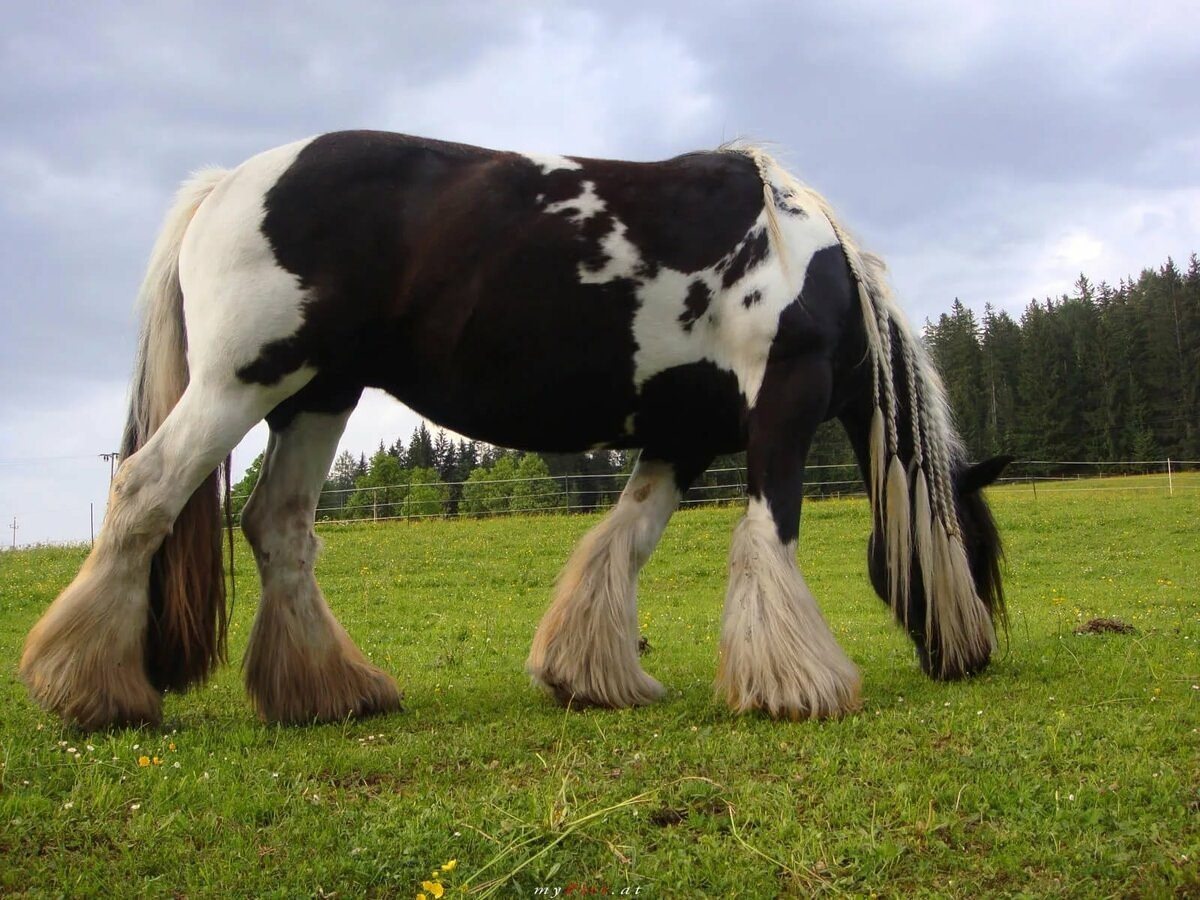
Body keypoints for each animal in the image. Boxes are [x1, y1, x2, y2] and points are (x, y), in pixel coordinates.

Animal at [21, 128, 1012, 734]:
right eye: (982, 552)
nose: (975, 657)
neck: (805, 257)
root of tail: (224, 186)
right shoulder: (783, 408)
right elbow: (769, 534)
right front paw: (797, 686)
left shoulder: (682, 438)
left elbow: (623, 541)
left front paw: (590, 676)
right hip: (245, 382)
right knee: (146, 490)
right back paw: (91, 690)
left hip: (318, 396)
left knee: (279, 528)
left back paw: (331, 693)